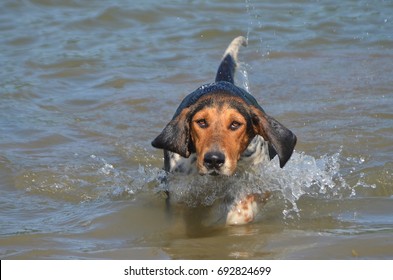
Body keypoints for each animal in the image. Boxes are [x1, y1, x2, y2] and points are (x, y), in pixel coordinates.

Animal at [152, 36, 296, 225]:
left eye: (235, 124)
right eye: (201, 122)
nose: (213, 160)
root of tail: (223, 81)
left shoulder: (256, 182)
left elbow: (241, 207)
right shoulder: (178, 192)